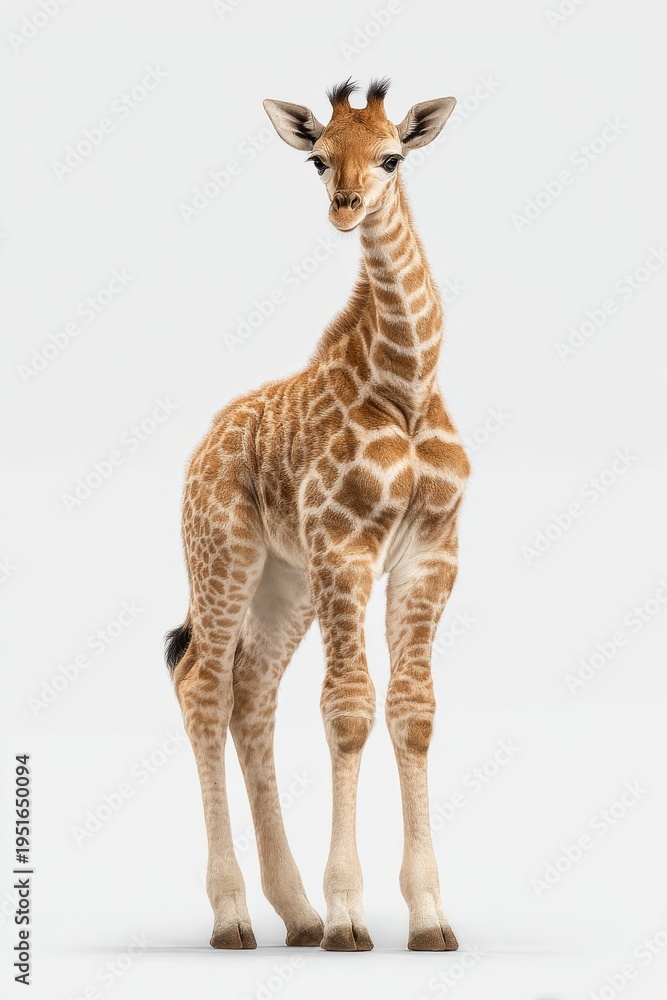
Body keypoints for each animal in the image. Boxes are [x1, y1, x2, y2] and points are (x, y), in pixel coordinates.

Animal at [166, 77, 469, 952]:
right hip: (224, 555)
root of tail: (202, 446)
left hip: (284, 580)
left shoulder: (430, 553)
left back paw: (292, 913)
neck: (404, 386)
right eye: (317, 158)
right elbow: (347, 709)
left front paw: (428, 918)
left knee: (251, 695)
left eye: (392, 155)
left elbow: (412, 712)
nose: (345, 206)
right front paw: (347, 916)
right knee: (202, 685)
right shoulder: (346, 547)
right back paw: (234, 916)